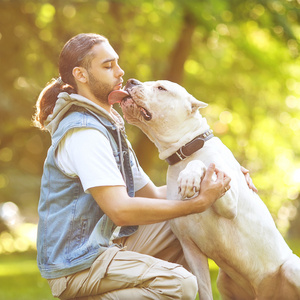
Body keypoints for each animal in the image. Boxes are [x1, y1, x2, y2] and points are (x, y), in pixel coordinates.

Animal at [109, 79, 300, 300]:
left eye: (161, 88)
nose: (131, 81)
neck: (186, 151)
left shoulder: (229, 204)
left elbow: (202, 164)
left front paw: (190, 176)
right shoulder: (191, 250)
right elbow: (205, 290)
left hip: (292, 268)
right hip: (224, 280)